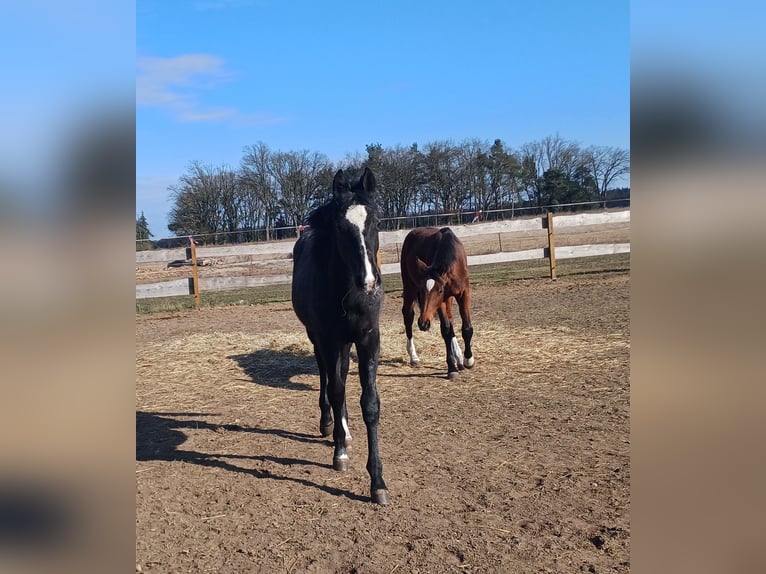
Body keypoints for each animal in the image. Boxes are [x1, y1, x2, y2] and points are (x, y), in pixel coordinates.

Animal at [291, 167, 389, 505]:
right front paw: (339, 453)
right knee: (327, 377)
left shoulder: (368, 339)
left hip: (346, 343)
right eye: (340, 227)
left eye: (377, 220)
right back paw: (331, 427)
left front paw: (378, 483)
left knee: (341, 377)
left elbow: (369, 403)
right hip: (318, 337)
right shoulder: (329, 339)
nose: (369, 281)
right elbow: (335, 391)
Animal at [400, 226, 475, 379]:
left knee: (451, 320)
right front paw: (451, 368)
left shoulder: (463, 293)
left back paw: (459, 358)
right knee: (408, 315)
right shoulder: (442, 302)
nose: (423, 323)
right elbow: (446, 330)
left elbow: (466, 328)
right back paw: (414, 357)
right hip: (409, 288)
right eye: (422, 290)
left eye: (440, 290)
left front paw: (468, 360)